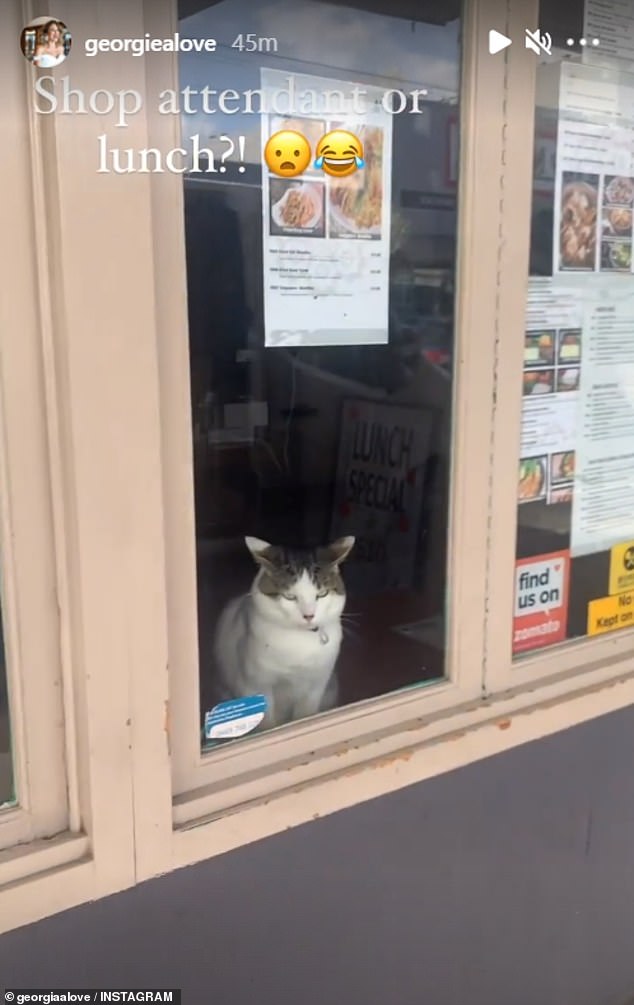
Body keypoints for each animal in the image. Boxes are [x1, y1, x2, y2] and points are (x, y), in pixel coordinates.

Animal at [212, 534, 351, 731]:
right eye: (290, 597)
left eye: (322, 594)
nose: (309, 615)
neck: (299, 643)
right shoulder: (256, 686)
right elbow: (267, 722)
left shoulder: (316, 686)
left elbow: (305, 715)